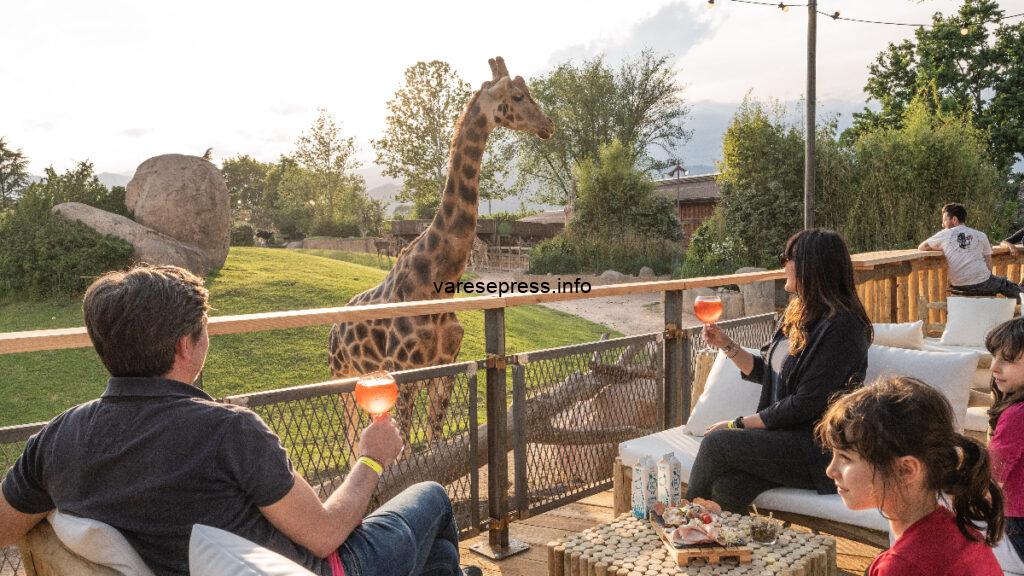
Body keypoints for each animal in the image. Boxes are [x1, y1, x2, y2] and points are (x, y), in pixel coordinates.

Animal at [325, 57, 552, 444]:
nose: (548, 125)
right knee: (352, 437)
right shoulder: (403, 370)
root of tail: (332, 330)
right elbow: (407, 448)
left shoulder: (445, 368)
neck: (439, 281)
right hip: (342, 376)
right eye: (518, 96)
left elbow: (433, 442)